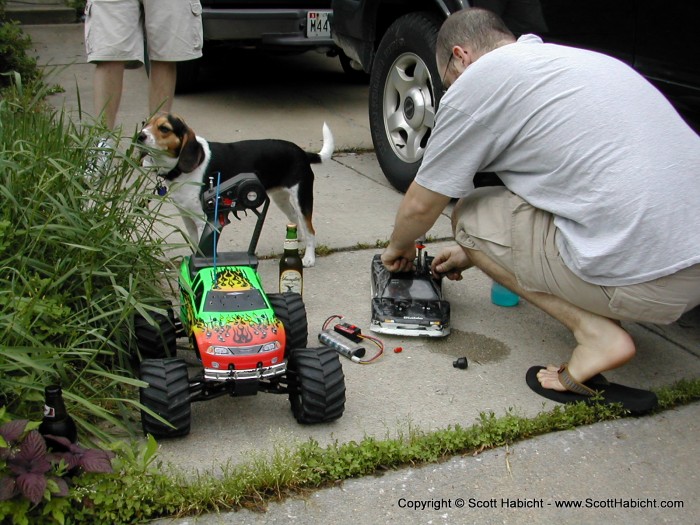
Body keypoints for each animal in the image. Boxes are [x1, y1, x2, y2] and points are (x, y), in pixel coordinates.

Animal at [139, 111, 334, 266]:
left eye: (164, 128)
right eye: (145, 123)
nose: (140, 136)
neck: (180, 169)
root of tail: (302, 152)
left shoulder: (203, 219)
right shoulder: (187, 216)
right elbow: (195, 244)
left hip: (302, 198)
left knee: (310, 230)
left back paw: (309, 258)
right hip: (281, 198)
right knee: (294, 217)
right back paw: (296, 238)